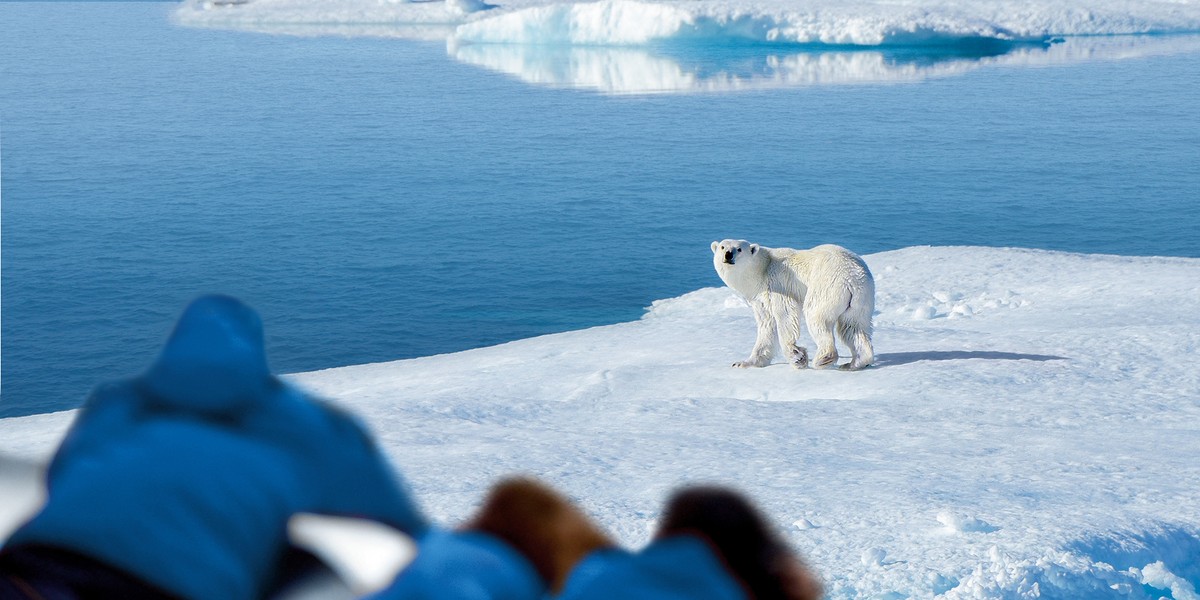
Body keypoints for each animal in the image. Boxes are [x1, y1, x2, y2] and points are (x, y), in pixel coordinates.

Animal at [710, 238, 873, 369]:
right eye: (723, 247)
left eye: (739, 249)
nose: (728, 255)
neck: (761, 270)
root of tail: (853, 276)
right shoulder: (760, 299)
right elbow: (767, 326)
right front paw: (742, 363)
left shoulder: (777, 286)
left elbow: (785, 316)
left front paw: (798, 358)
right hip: (860, 299)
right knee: (853, 326)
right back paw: (854, 363)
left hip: (827, 286)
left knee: (816, 315)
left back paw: (823, 358)